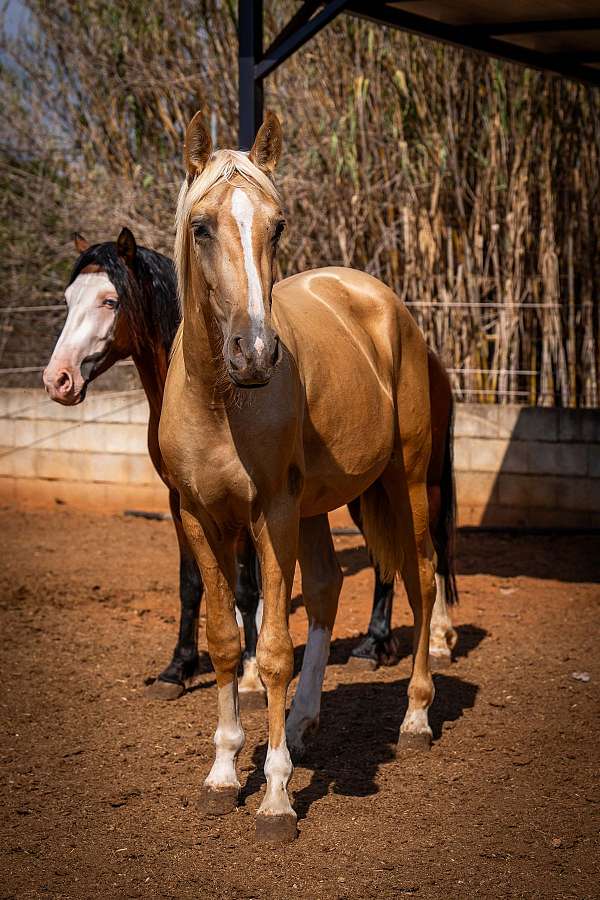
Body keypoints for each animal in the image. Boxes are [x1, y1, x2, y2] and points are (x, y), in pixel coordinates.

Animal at [159, 114, 440, 844]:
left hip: (404, 481)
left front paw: (277, 797)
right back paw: (309, 719)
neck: (218, 401)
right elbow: (227, 639)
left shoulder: (271, 514)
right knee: (326, 589)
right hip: (317, 508)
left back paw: (416, 715)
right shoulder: (200, 518)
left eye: (278, 226)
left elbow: (273, 652)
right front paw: (224, 773)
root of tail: (382, 301)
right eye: (202, 226)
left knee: (423, 580)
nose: (256, 354)